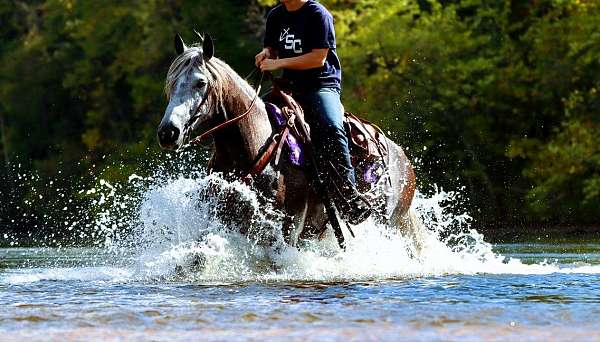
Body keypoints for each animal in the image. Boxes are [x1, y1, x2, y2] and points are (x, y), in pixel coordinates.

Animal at [157, 34, 420, 248]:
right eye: (170, 82)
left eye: (200, 82)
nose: (168, 132)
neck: (253, 147)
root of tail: (403, 159)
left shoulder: (290, 225)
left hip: (389, 222)